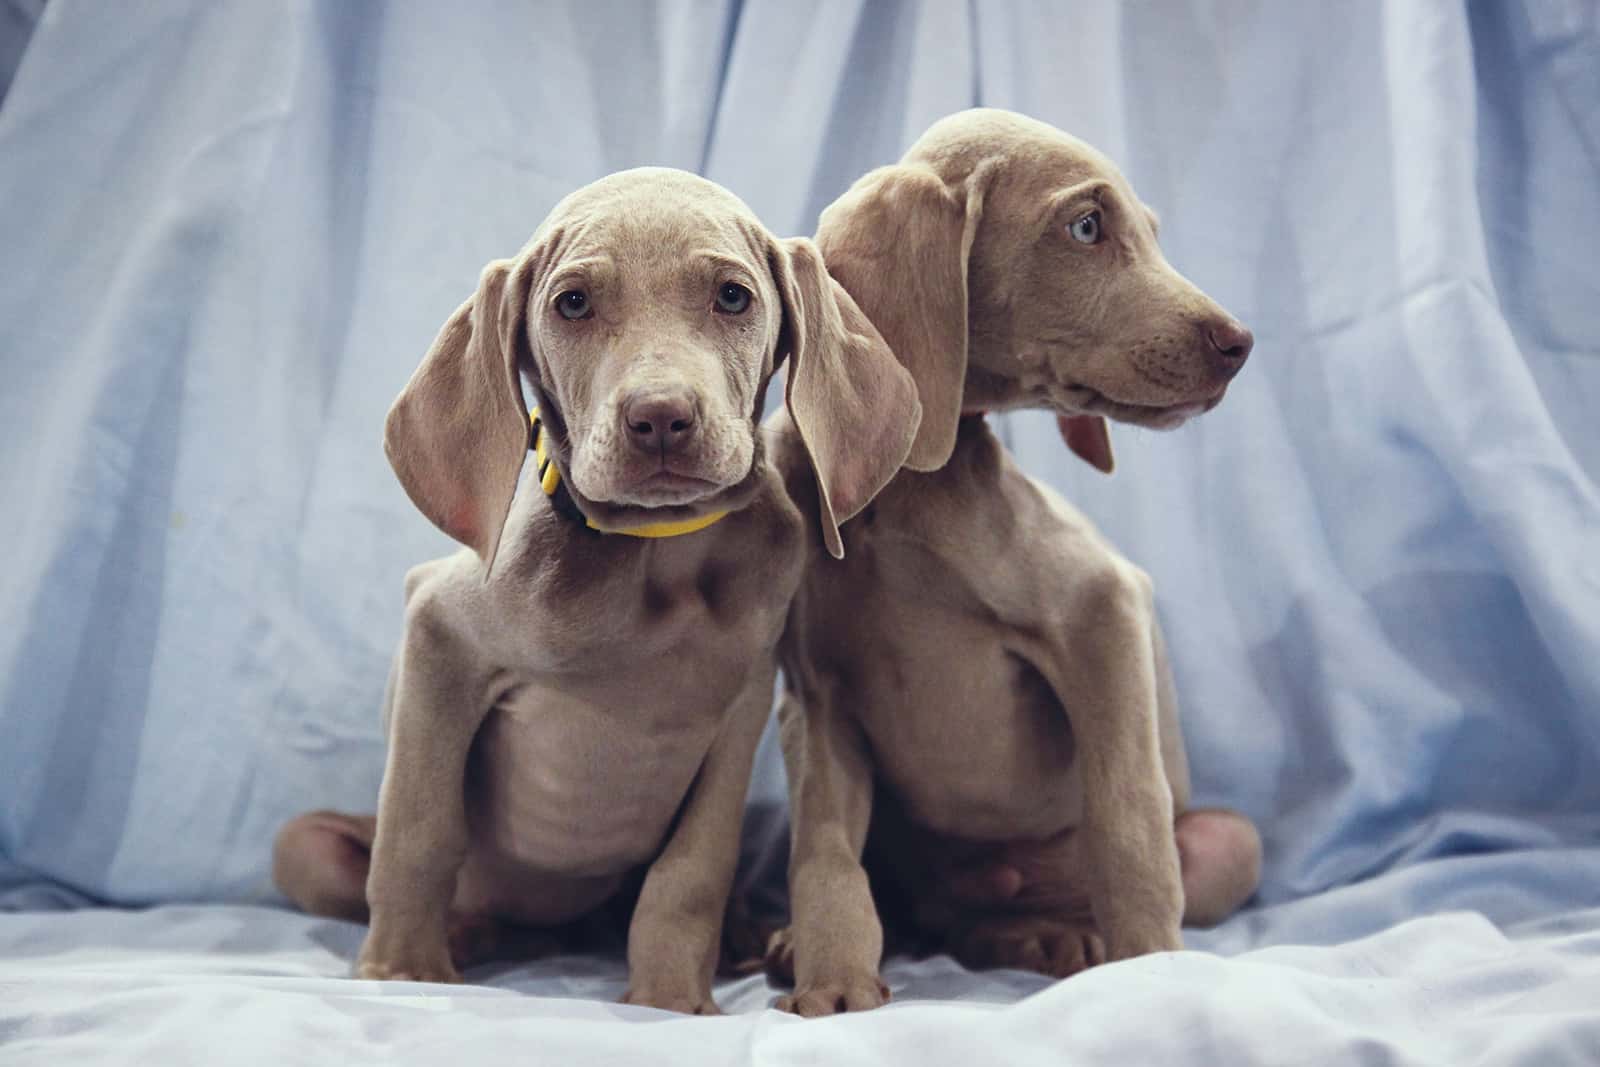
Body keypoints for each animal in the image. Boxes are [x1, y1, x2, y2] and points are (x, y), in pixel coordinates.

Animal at [273, 168, 921, 1017]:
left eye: (733, 297)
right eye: (572, 303)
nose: (660, 418)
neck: (660, 558)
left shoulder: (739, 706)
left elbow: (690, 873)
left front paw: (671, 998)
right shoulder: (437, 631)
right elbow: (421, 824)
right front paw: (403, 969)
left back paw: (751, 938)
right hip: (301, 847)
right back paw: (469, 932)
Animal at [761, 110, 1260, 1017]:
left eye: (1149, 231)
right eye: (1087, 226)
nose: (1239, 342)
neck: (908, 497)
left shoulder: (1104, 609)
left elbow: (1129, 819)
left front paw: (1153, 972)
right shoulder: (814, 700)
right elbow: (824, 850)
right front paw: (835, 979)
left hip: (1229, 839)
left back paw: (1065, 937)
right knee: (942, 916)